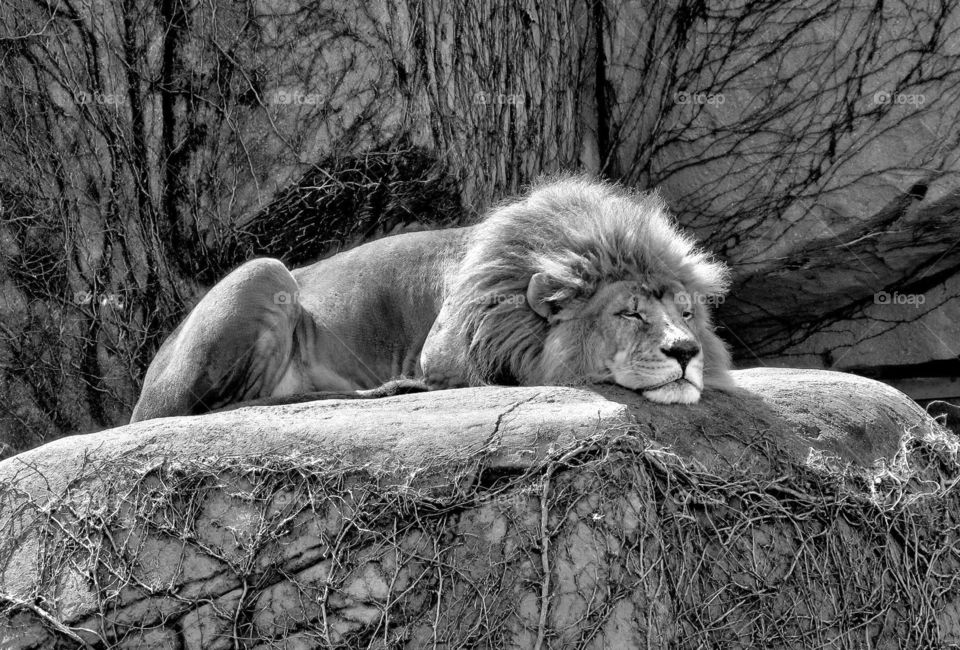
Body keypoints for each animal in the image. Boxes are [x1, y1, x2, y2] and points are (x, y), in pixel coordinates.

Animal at [130, 176, 733, 422]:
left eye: (685, 314)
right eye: (628, 312)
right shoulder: (442, 353)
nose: (686, 352)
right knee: (222, 408)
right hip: (263, 269)